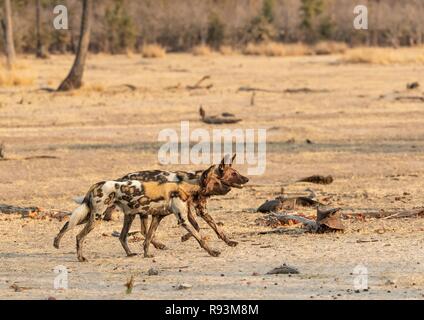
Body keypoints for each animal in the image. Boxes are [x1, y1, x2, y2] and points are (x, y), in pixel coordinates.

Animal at [53, 165, 232, 262]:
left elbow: (147, 238)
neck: (185, 187)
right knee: (79, 236)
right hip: (97, 218)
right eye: (217, 182)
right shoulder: (183, 220)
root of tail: (96, 184)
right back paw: (80, 258)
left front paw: (146, 254)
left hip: (96, 216)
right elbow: (200, 238)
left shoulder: (157, 217)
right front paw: (213, 252)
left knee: (68, 224)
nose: (229, 188)